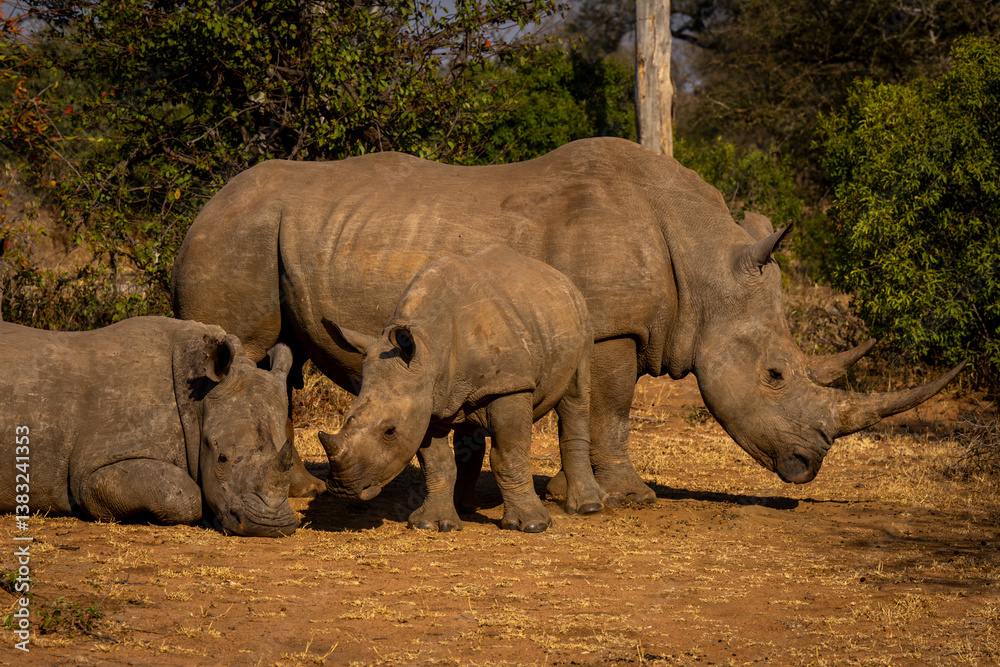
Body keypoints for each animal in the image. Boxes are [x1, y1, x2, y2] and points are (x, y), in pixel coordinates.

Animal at [318, 245, 606, 532]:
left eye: (389, 431)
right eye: (346, 418)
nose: (343, 489)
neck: (428, 348)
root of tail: (561, 278)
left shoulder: (509, 385)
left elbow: (509, 456)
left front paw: (532, 525)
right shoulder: (426, 399)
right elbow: (437, 462)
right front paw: (431, 524)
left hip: (581, 320)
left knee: (576, 398)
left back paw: (588, 508)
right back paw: (462, 507)